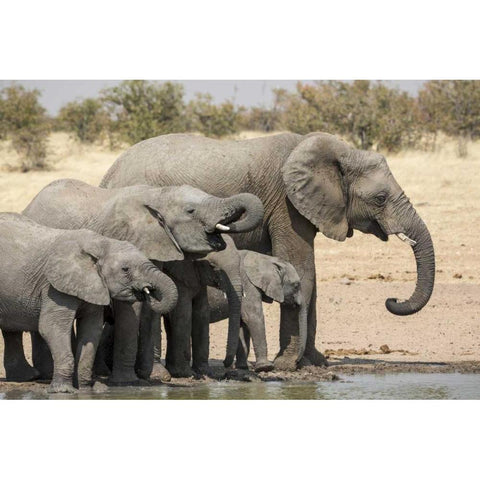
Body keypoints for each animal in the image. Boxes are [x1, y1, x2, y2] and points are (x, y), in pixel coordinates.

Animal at [0, 214, 177, 394]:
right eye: (125, 269)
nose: (149, 291)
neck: (101, 243)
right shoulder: (54, 287)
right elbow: (51, 328)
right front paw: (64, 391)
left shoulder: (94, 286)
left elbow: (91, 330)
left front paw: (87, 389)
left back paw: (24, 377)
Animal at [19, 178, 262, 384]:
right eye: (190, 211)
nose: (227, 367)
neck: (158, 195)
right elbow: (132, 306)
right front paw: (132, 379)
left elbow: (151, 311)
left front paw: (154, 375)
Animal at [102, 133, 438, 370]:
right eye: (380, 198)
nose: (392, 300)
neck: (338, 151)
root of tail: (108, 174)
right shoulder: (287, 205)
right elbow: (301, 268)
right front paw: (289, 365)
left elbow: (310, 276)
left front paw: (316, 362)